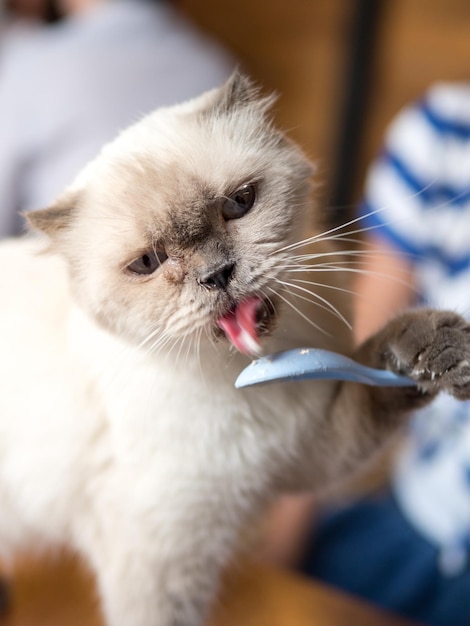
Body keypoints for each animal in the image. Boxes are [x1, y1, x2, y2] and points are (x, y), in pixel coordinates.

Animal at [0, 70, 470, 620]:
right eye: (148, 262)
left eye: (239, 204)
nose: (217, 275)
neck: (242, 382)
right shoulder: (163, 563)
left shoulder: (305, 454)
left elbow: (376, 377)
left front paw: (436, 355)